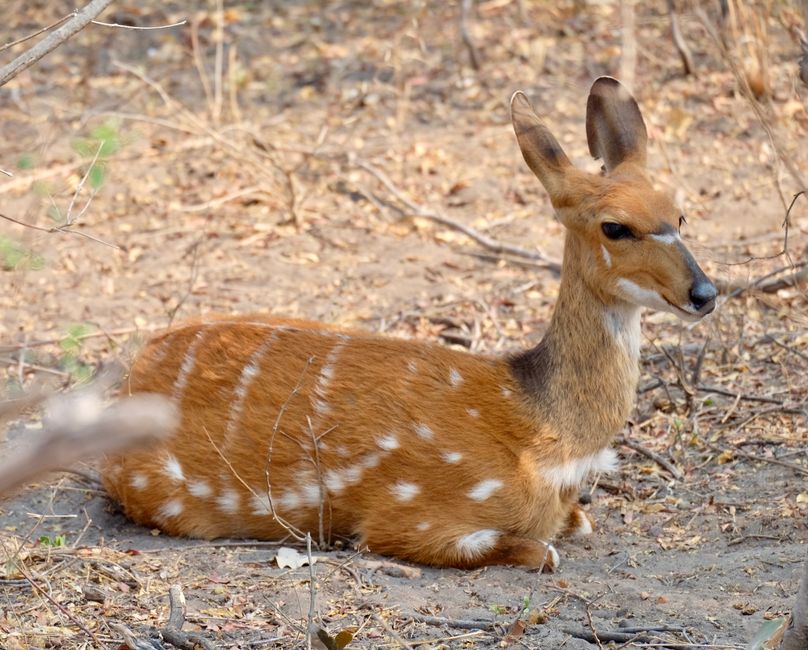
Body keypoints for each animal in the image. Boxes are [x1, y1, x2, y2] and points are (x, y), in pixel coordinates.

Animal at [101, 78, 712, 568]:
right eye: (615, 227)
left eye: (679, 214)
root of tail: (132, 374)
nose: (704, 293)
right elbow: (540, 551)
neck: (543, 438)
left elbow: (580, 522)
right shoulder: (407, 518)